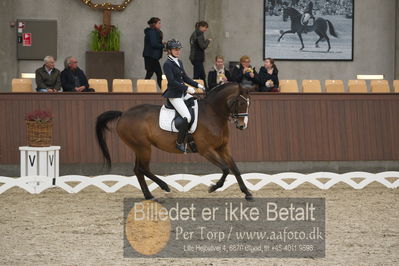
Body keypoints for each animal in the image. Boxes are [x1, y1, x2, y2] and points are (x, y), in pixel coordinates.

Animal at [95, 82, 255, 201]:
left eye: (248, 103)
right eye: (240, 102)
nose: (242, 126)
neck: (213, 113)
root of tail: (123, 114)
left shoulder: (223, 147)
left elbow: (234, 168)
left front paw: (247, 193)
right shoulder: (206, 150)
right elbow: (225, 169)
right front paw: (213, 187)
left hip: (139, 148)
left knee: (138, 169)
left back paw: (149, 195)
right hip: (144, 147)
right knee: (143, 168)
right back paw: (164, 186)